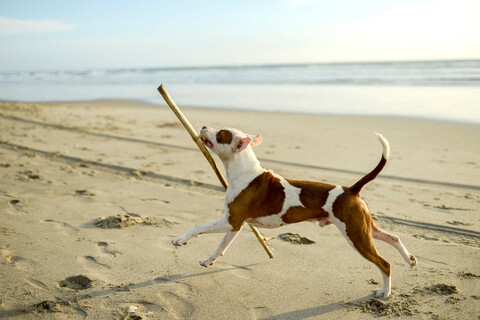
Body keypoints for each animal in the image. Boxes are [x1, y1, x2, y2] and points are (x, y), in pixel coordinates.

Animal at [172, 125, 416, 298]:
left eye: (221, 134)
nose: (204, 126)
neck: (243, 170)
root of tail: (351, 189)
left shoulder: (230, 221)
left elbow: (198, 227)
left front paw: (180, 240)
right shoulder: (234, 225)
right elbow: (221, 246)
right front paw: (208, 261)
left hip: (356, 235)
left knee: (384, 263)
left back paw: (385, 292)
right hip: (364, 228)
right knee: (393, 237)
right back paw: (410, 259)